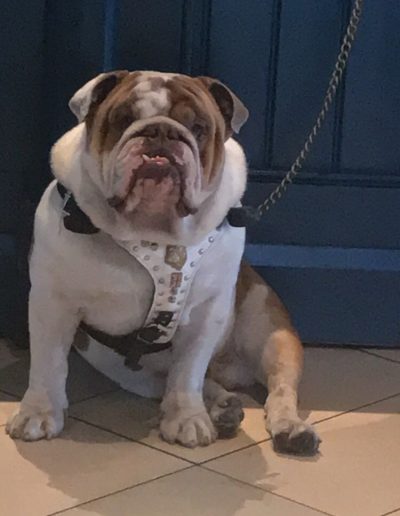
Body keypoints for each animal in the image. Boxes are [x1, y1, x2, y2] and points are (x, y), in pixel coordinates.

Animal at [6, 70, 320, 455]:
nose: (161, 132)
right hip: (129, 372)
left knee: (277, 389)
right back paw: (222, 407)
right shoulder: (53, 303)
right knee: (179, 382)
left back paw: (290, 427)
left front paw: (186, 419)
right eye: (123, 119)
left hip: (274, 335)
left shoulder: (207, 313)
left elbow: (187, 372)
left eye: (198, 127)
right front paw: (38, 413)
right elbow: (48, 364)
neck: (152, 231)